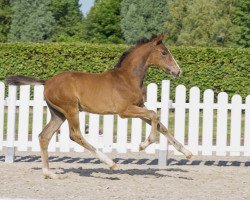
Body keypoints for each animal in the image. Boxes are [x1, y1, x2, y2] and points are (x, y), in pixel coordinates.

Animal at [6, 33, 192, 179]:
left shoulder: (139, 107)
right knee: (75, 135)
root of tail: (47, 81)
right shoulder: (124, 111)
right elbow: (154, 114)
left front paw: (187, 152)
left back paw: (49, 173)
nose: (178, 71)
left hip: (58, 114)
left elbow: (161, 125)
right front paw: (143, 144)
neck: (127, 78)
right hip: (71, 110)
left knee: (44, 136)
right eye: (164, 53)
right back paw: (110, 163)